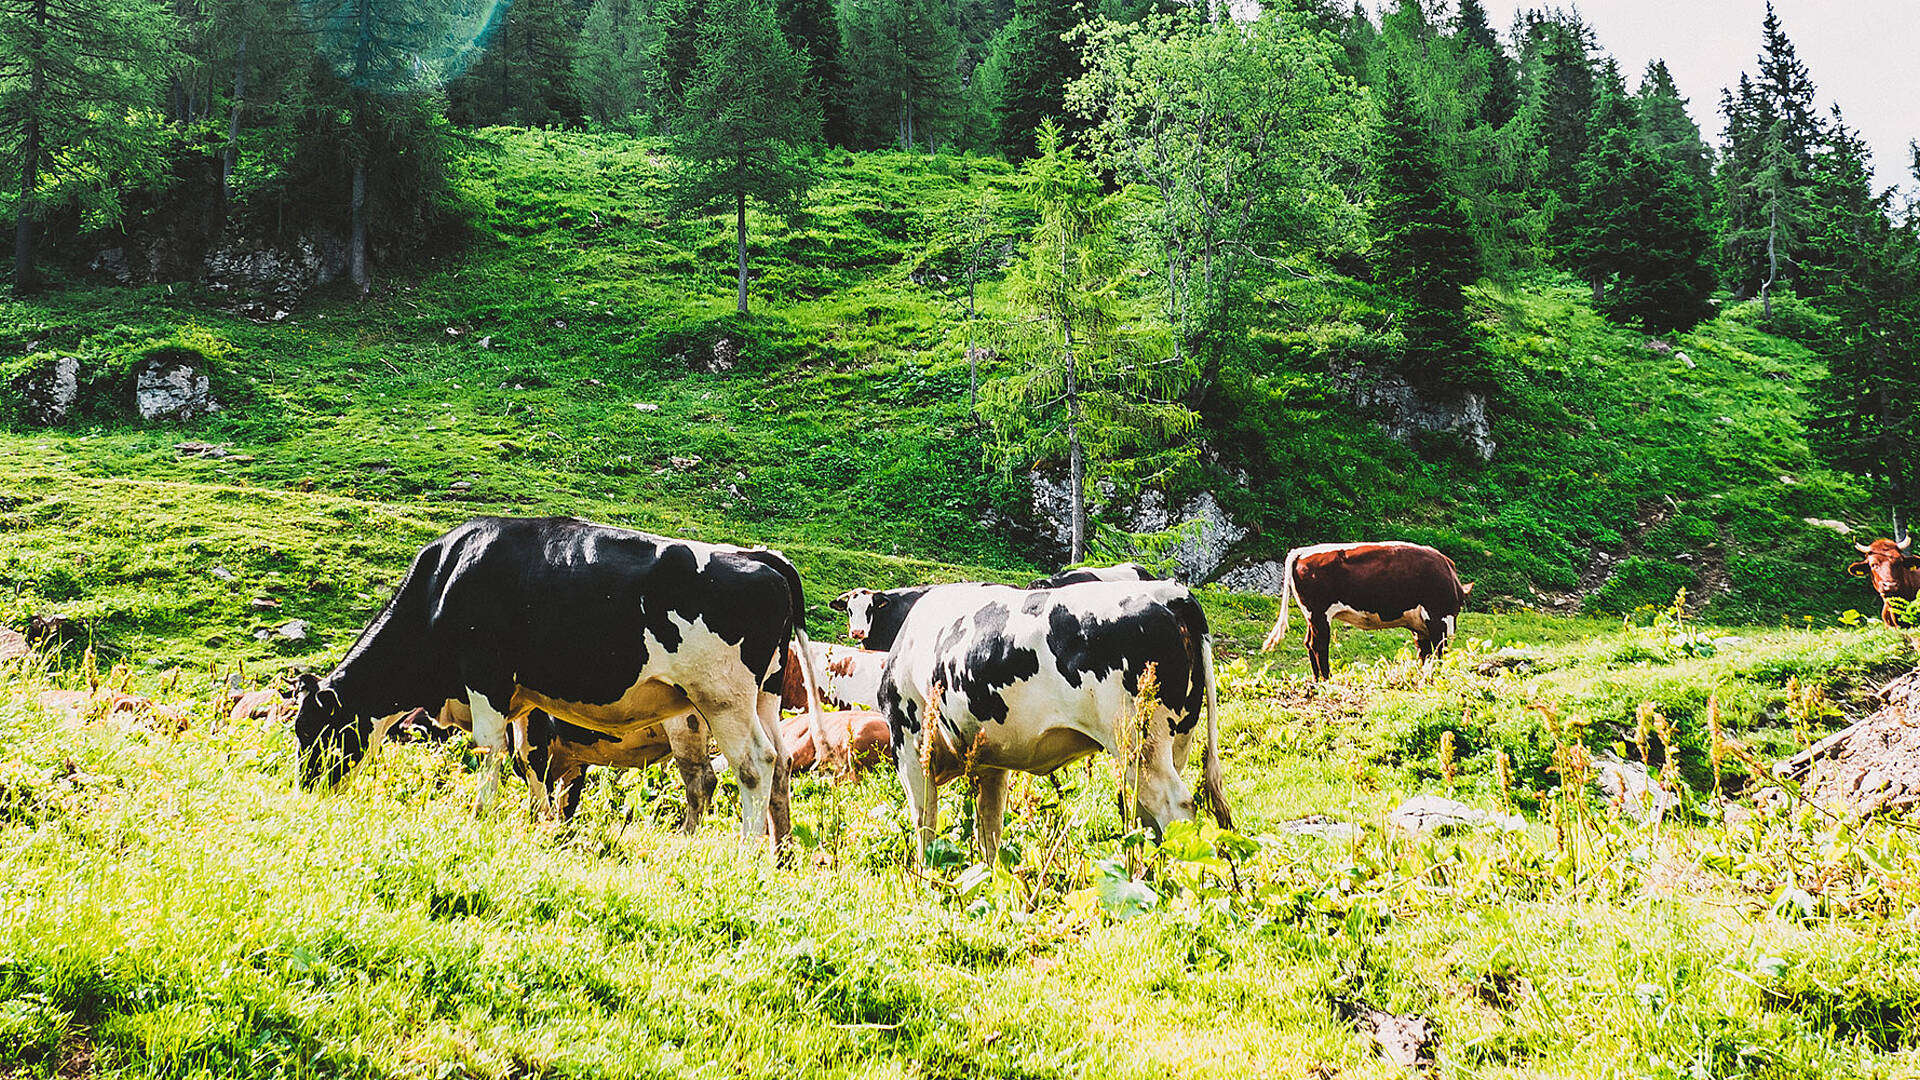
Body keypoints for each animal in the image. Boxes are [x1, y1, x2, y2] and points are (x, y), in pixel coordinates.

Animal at [288, 515, 821, 841]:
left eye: (312, 730)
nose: (306, 791)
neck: (443, 582)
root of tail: (762, 557)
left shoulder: (486, 676)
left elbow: (491, 748)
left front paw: (482, 817)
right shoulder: (525, 699)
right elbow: (528, 761)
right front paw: (543, 825)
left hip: (722, 698)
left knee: (752, 765)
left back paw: (747, 850)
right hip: (764, 696)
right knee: (780, 767)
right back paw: (778, 855)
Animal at [837, 580, 1228, 857]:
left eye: (868, 610)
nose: (857, 633)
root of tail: (1172, 592)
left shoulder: (910, 745)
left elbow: (925, 822)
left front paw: (927, 878)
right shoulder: (990, 761)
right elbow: (989, 828)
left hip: (1138, 744)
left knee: (1172, 805)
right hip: (1173, 741)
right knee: (1147, 815)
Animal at [1259, 541, 1466, 676]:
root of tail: (1302, 551)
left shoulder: (1420, 626)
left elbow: (1425, 654)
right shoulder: (1439, 619)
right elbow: (1438, 654)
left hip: (1312, 617)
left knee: (1309, 643)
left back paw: (1317, 680)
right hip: (1319, 614)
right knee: (1318, 645)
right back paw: (1326, 680)